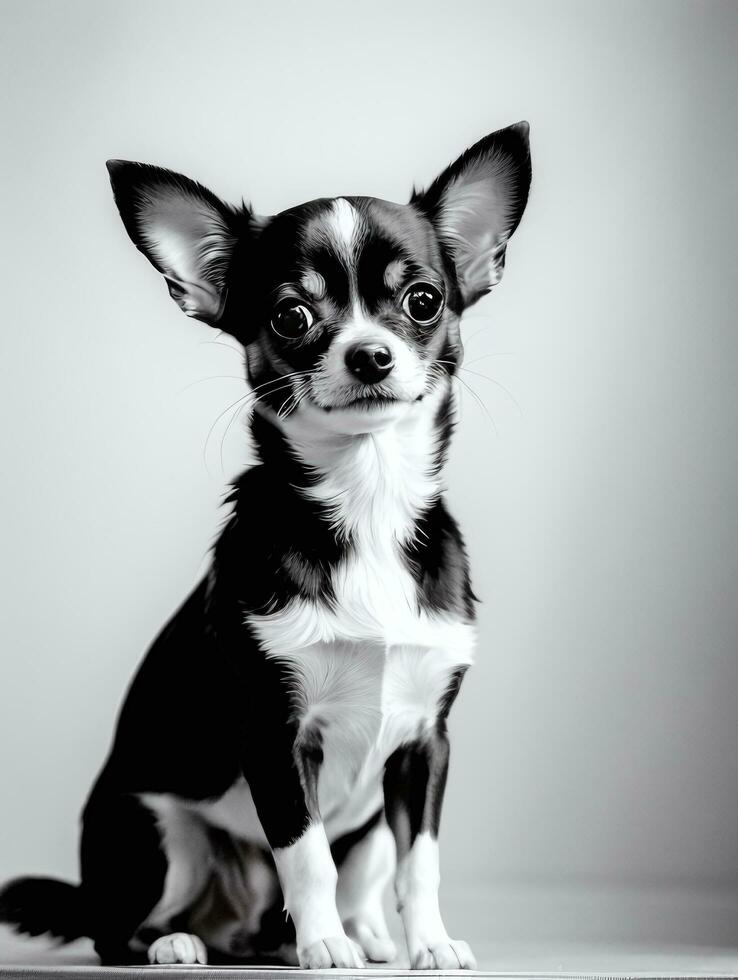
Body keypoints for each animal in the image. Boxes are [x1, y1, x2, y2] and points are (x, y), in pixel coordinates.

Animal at [0, 120, 528, 964]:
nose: (369, 354)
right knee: (114, 928)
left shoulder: (425, 745)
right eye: (291, 317)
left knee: (366, 870)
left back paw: (360, 934)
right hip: (160, 833)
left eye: (424, 300)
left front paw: (429, 943)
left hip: (368, 820)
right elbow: (306, 856)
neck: (366, 502)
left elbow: (420, 862)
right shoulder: (277, 738)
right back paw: (179, 945)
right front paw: (325, 949)